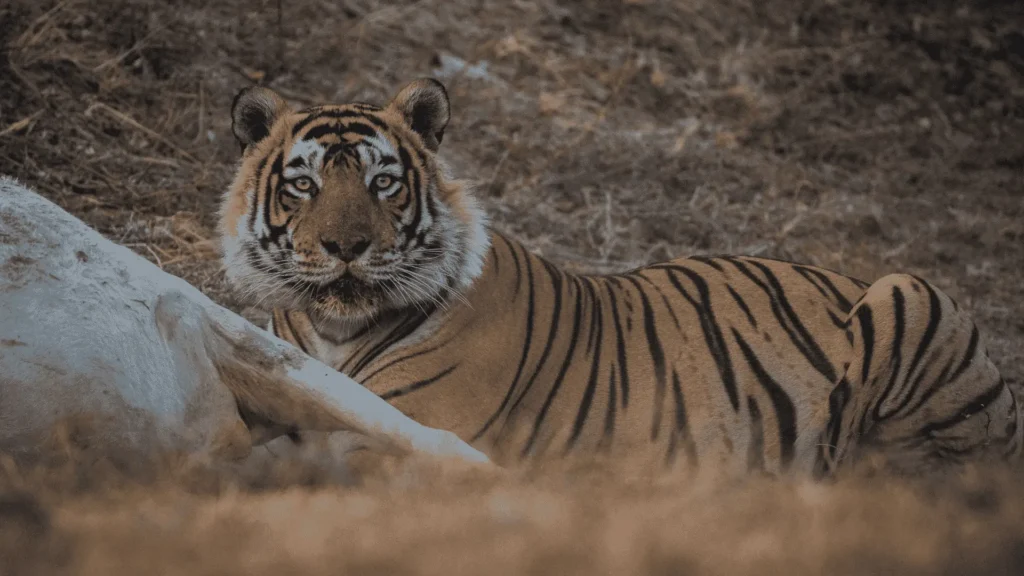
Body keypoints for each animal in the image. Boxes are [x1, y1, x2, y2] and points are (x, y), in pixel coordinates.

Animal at [216, 77, 1015, 475]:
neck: (333, 328)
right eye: (304, 185)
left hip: (908, 294)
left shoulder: (403, 445)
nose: (345, 245)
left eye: (382, 183)